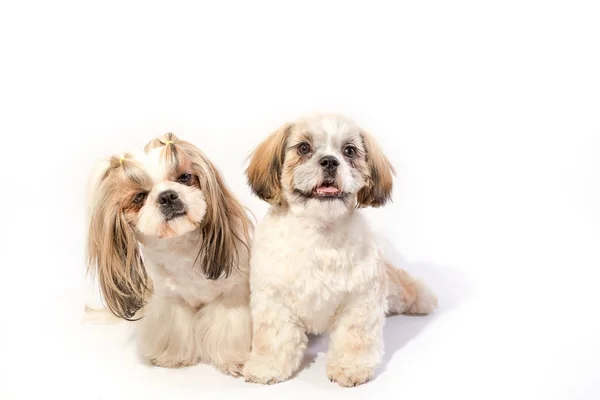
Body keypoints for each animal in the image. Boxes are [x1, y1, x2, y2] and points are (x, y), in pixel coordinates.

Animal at [85, 134, 253, 376]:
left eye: (185, 177)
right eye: (139, 197)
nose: (167, 196)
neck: (182, 246)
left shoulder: (232, 293)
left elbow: (229, 327)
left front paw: (234, 360)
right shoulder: (170, 301)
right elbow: (175, 327)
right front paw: (173, 357)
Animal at [241, 113, 438, 388]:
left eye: (349, 151)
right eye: (304, 148)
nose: (329, 161)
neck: (319, 235)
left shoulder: (361, 298)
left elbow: (353, 336)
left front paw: (350, 368)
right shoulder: (272, 298)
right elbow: (273, 337)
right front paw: (266, 367)